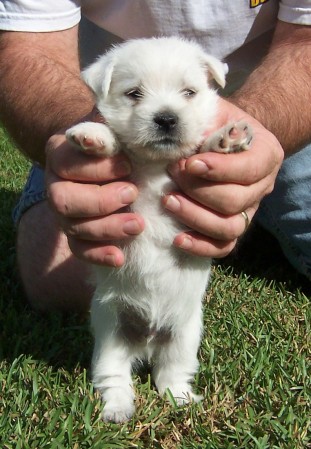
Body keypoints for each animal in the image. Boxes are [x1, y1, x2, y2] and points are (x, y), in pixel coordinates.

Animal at [66, 36, 254, 422]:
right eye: (134, 93)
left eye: (189, 92)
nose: (166, 118)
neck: (155, 166)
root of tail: (148, 341)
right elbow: (117, 148)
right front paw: (94, 135)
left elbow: (199, 151)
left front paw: (226, 140)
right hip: (110, 336)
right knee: (114, 378)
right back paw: (118, 409)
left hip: (185, 337)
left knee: (171, 375)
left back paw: (181, 399)